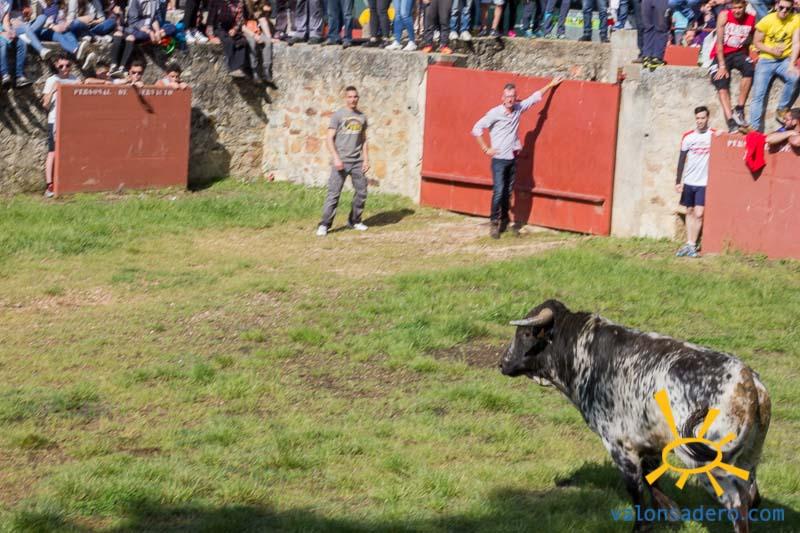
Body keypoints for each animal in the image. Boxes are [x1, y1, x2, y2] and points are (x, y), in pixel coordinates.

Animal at [499, 299, 771, 533]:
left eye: (526, 334)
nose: (502, 363)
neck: (583, 352)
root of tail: (747, 380)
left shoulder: (619, 445)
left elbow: (636, 489)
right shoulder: (648, 441)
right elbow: (652, 480)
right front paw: (670, 513)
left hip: (708, 464)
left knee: (737, 503)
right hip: (748, 458)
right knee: (752, 496)